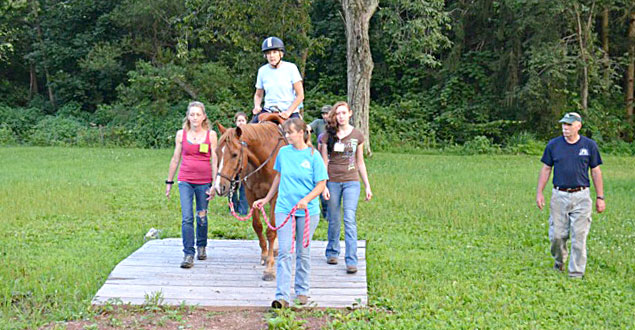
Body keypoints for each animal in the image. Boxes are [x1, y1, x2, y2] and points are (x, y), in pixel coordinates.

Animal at [214, 120, 286, 280]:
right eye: (216, 152)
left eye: (235, 154)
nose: (219, 187)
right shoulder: (251, 195)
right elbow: (257, 226)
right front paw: (265, 255)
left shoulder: (275, 197)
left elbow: (271, 231)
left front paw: (270, 268)